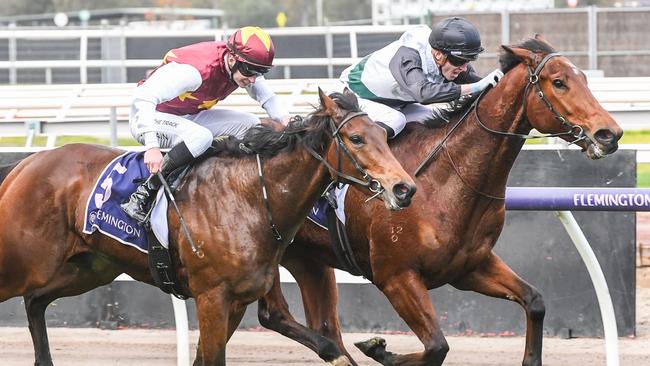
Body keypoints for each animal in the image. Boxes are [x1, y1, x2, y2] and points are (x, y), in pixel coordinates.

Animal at [0, 89, 416, 366]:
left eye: (384, 136)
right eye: (357, 138)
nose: (404, 188)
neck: (251, 197)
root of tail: (26, 163)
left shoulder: (236, 300)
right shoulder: (212, 298)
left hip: (89, 269)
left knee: (35, 300)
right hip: (24, 261)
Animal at [256, 35, 620, 366]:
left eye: (584, 78)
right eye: (559, 82)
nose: (610, 134)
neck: (447, 181)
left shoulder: (470, 267)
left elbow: (535, 301)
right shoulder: (396, 277)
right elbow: (437, 347)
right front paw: (378, 348)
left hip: (309, 259)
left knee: (323, 324)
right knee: (274, 315)